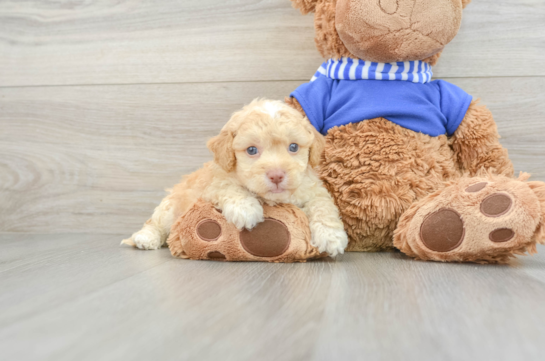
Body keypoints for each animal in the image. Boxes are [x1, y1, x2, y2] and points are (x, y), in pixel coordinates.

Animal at [121, 98, 346, 256]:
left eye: (293, 147)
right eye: (252, 150)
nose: (276, 175)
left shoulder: (313, 189)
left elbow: (323, 205)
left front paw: (331, 236)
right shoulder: (214, 184)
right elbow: (229, 186)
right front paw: (245, 209)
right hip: (169, 207)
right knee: (155, 223)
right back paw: (145, 238)